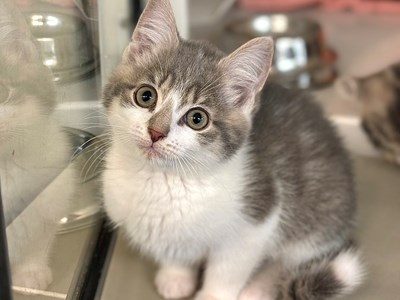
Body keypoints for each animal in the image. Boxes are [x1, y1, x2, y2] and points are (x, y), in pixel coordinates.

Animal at [101, 0, 364, 300]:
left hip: (317, 219)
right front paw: (176, 276)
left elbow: (227, 269)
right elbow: (174, 250)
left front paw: (212, 294)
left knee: (288, 260)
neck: (163, 180)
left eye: (197, 118)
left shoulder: (257, 218)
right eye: (146, 96)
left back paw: (258, 288)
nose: (156, 132)